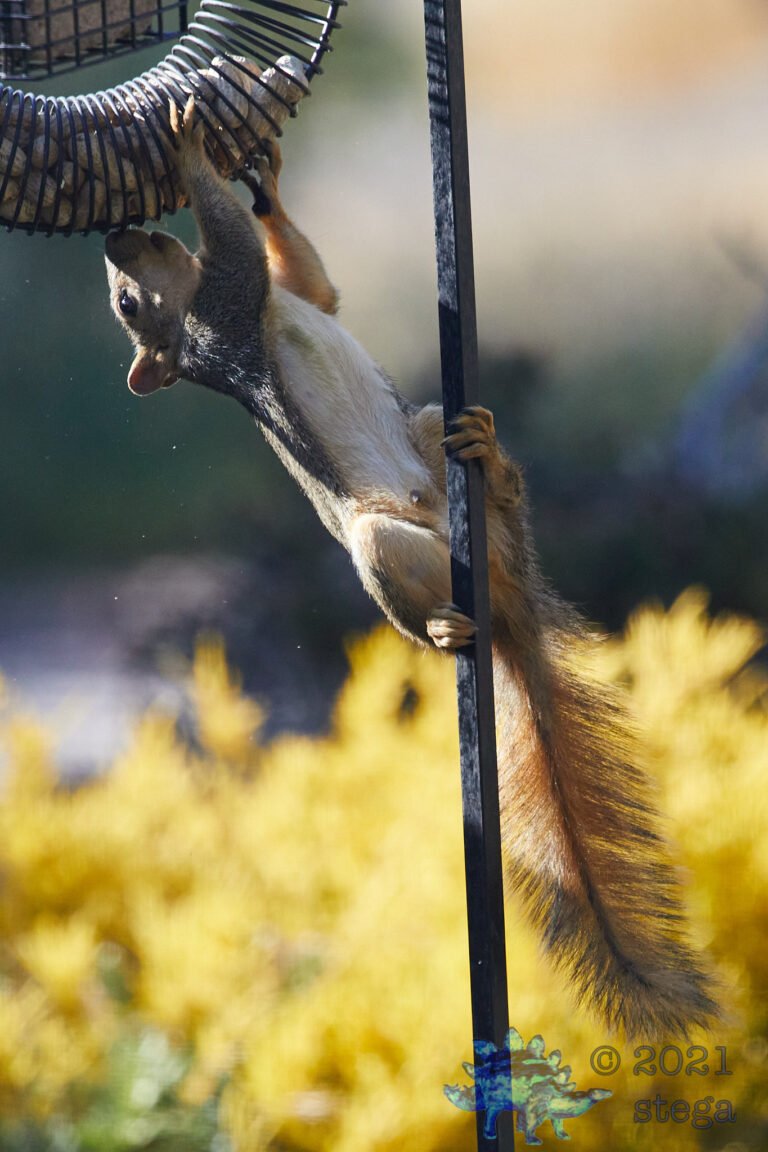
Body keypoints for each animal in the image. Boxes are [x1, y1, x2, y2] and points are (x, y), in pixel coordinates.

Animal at [105, 96, 719, 1039]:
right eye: (129, 304)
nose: (115, 238)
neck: (200, 322)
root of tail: (506, 605)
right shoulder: (233, 310)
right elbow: (238, 251)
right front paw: (187, 144)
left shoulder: (285, 296)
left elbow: (310, 281)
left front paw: (263, 182)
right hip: (385, 548)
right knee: (421, 604)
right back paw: (440, 625)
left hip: (437, 436)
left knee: (468, 462)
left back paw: (491, 462)